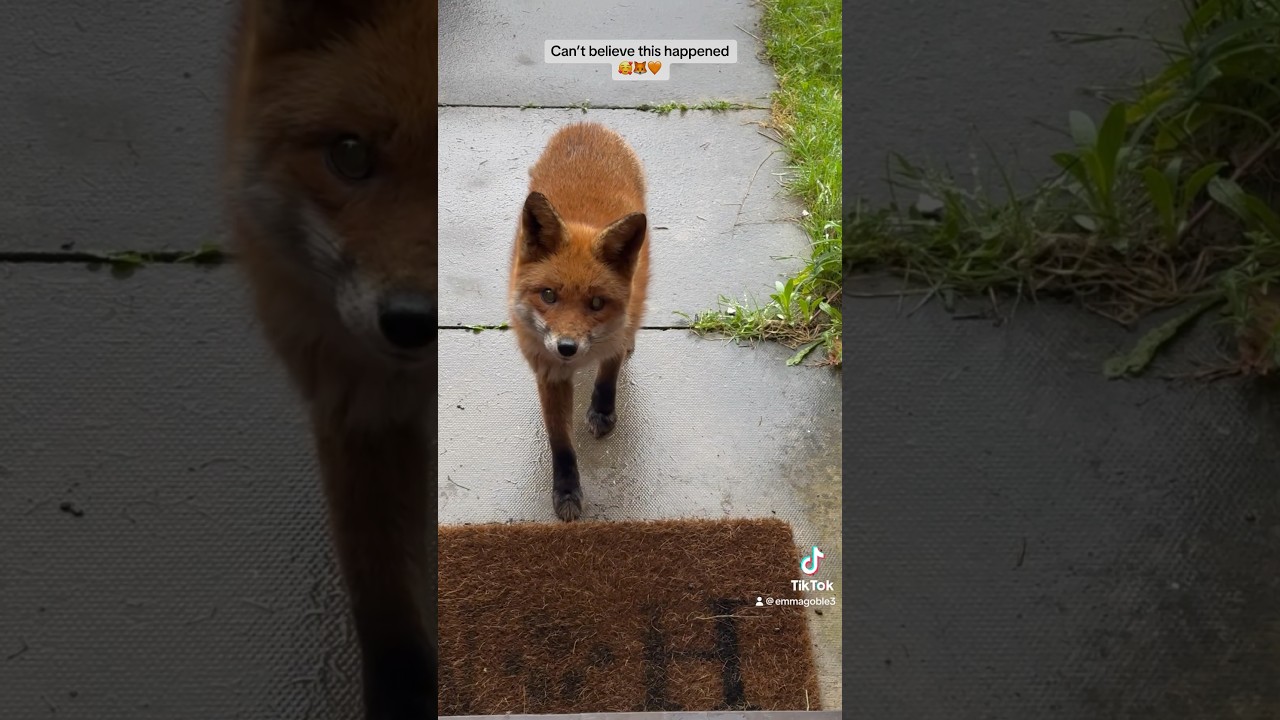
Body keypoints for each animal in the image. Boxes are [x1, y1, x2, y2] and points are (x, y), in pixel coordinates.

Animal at [509, 123, 650, 522]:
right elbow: (560, 441)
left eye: (597, 303)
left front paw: (602, 409)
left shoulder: (619, 326)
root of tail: (587, 126)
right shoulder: (548, 370)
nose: (567, 348)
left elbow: (608, 373)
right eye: (548, 295)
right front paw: (567, 490)